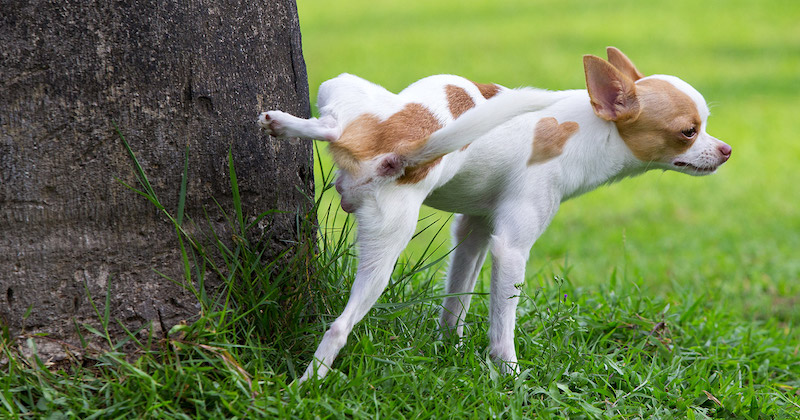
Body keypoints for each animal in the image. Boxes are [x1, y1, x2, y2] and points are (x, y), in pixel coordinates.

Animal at [256, 47, 732, 382]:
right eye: (689, 132)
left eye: (706, 127)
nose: (726, 150)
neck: (587, 129)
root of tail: (402, 149)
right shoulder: (511, 250)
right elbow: (503, 325)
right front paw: (509, 376)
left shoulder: (475, 231)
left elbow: (457, 300)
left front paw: (448, 349)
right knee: (339, 326)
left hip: (362, 156)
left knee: (334, 127)